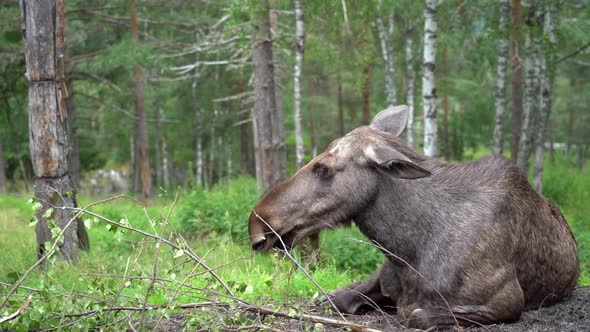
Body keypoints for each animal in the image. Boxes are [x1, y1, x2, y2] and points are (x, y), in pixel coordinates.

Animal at [247, 106, 580, 330]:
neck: (409, 250)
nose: (257, 224)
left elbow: (413, 314)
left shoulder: (507, 302)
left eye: (323, 169)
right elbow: (341, 297)